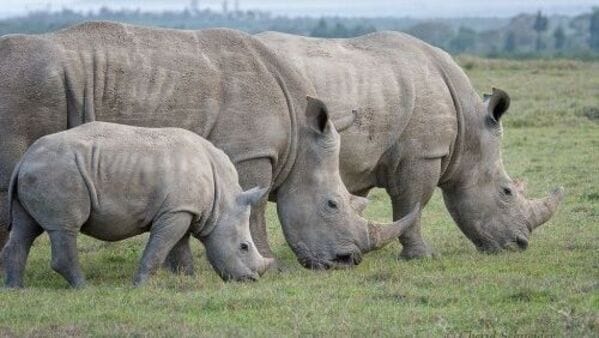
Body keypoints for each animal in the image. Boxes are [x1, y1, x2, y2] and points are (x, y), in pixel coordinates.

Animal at [0, 21, 418, 270]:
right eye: (332, 204)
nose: (349, 261)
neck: (299, 135)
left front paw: (180, 271)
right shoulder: (249, 152)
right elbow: (255, 210)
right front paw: (268, 262)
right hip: (27, 88)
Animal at [2, 121, 274, 288]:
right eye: (243, 247)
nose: (251, 280)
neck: (222, 202)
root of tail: (25, 158)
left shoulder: (181, 209)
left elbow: (178, 247)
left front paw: (187, 280)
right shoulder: (177, 210)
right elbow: (160, 248)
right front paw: (140, 285)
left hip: (41, 171)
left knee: (26, 228)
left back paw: (16, 289)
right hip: (58, 171)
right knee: (64, 228)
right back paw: (84, 288)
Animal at [256, 32, 564, 258]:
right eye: (507, 191)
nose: (520, 244)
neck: (469, 131)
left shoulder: (363, 158)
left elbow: (356, 202)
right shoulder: (423, 155)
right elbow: (412, 205)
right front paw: (421, 256)